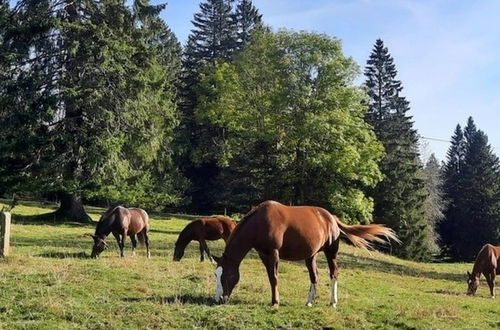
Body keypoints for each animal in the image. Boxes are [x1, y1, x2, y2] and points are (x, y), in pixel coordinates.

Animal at [213, 200, 400, 308]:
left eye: (228, 275)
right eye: (216, 275)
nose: (219, 299)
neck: (260, 222)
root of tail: (331, 217)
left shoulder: (273, 253)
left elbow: (274, 278)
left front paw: (275, 303)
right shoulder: (263, 254)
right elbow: (271, 277)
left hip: (331, 253)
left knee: (334, 273)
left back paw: (333, 302)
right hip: (311, 256)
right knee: (314, 276)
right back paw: (310, 301)